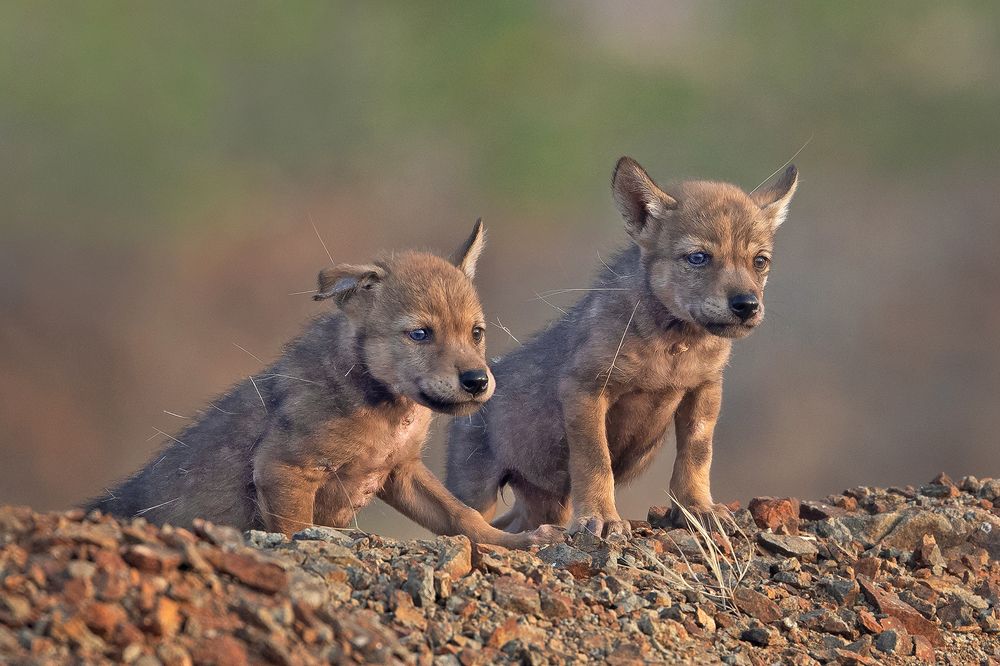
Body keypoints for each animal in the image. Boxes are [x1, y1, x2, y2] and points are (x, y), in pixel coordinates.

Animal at [87, 220, 561, 547]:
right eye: (420, 334)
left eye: (476, 333)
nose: (478, 381)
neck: (386, 409)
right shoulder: (284, 469)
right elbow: (295, 532)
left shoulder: (402, 470)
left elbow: (462, 516)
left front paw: (514, 542)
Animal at [447, 158, 798, 537]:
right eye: (698, 257)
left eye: (760, 261)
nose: (746, 305)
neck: (674, 349)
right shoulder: (585, 387)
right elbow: (595, 461)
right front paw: (601, 517)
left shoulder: (705, 388)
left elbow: (696, 456)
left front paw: (698, 508)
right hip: (477, 491)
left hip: (544, 502)